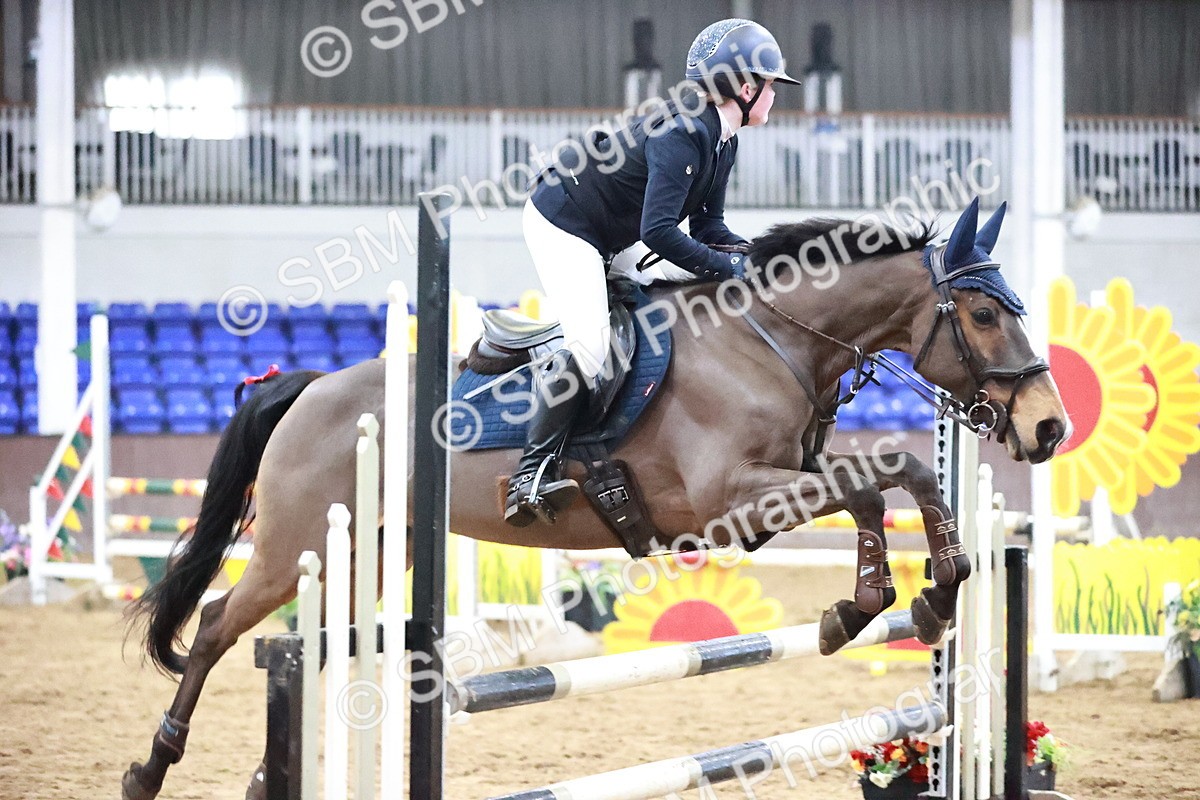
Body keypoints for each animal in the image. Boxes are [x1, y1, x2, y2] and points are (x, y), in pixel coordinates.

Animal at [120, 198, 1069, 800]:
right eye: (984, 314)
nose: (1050, 426)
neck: (769, 341)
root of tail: (309, 387)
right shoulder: (729, 499)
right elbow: (885, 476)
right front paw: (900, 599)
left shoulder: (782, 484)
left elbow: (891, 481)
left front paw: (907, 600)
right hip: (294, 547)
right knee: (217, 627)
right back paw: (150, 768)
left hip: (367, 552)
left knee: (321, 647)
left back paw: (255, 777)